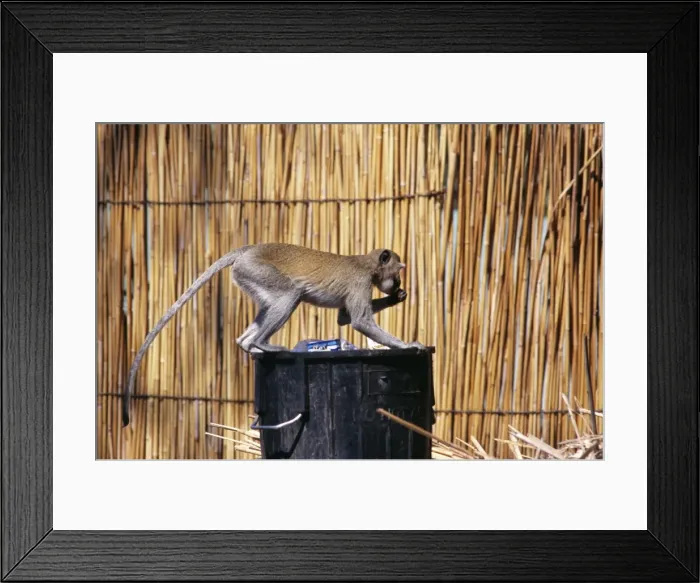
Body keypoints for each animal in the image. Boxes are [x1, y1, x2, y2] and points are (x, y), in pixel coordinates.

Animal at [122, 243, 426, 426]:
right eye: (396, 273)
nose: (397, 283)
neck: (367, 264)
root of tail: (249, 249)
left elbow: (344, 318)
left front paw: (397, 299)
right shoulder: (360, 281)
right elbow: (359, 321)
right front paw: (407, 345)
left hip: (247, 275)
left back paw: (248, 344)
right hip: (255, 271)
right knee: (291, 294)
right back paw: (260, 343)